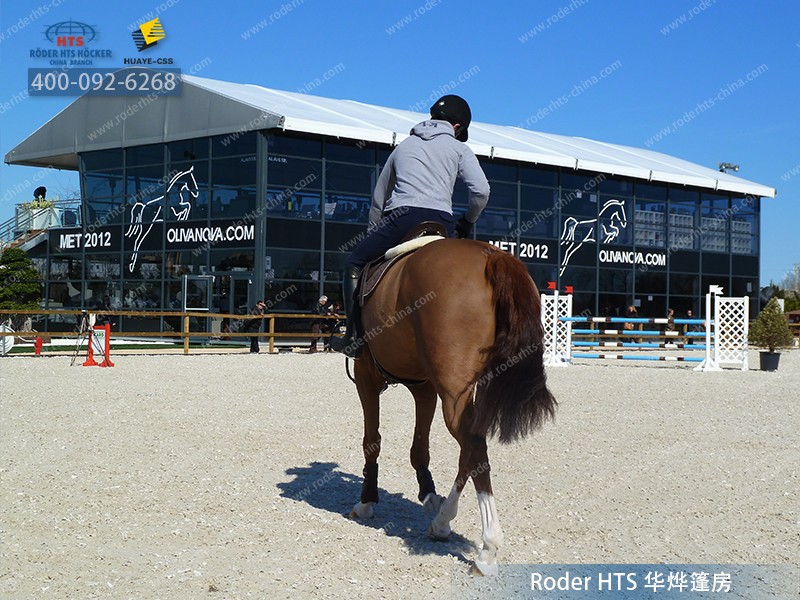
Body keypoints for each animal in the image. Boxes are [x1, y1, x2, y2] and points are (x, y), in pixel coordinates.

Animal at [350, 238, 556, 576]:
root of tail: (491, 254)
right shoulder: (424, 387)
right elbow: (420, 448)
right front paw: (428, 493)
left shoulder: (366, 376)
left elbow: (372, 441)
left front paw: (366, 501)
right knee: (470, 451)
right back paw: (443, 521)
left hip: (451, 390)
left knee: (474, 447)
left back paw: (487, 549)